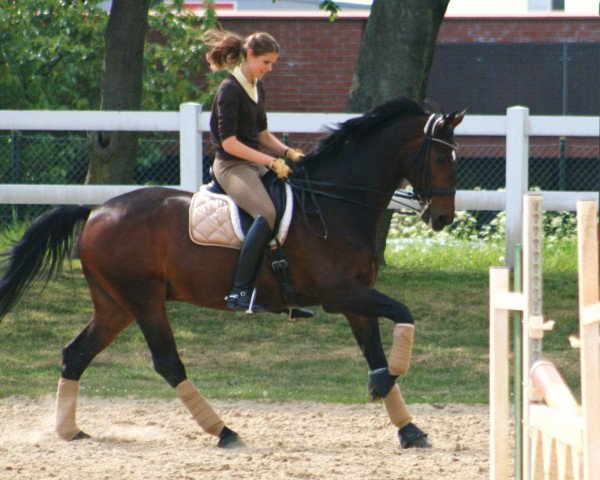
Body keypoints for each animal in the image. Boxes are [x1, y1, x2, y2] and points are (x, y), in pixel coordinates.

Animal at [0, 97, 464, 450]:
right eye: (442, 156)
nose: (442, 218)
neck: (336, 202)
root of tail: (97, 209)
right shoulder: (340, 293)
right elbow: (404, 314)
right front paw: (391, 380)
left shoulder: (357, 297)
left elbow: (376, 352)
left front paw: (407, 425)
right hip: (144, 301)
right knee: (168, 363)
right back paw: (223, 431)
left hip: (116, 306)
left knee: (76, 354)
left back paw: (68, 431)